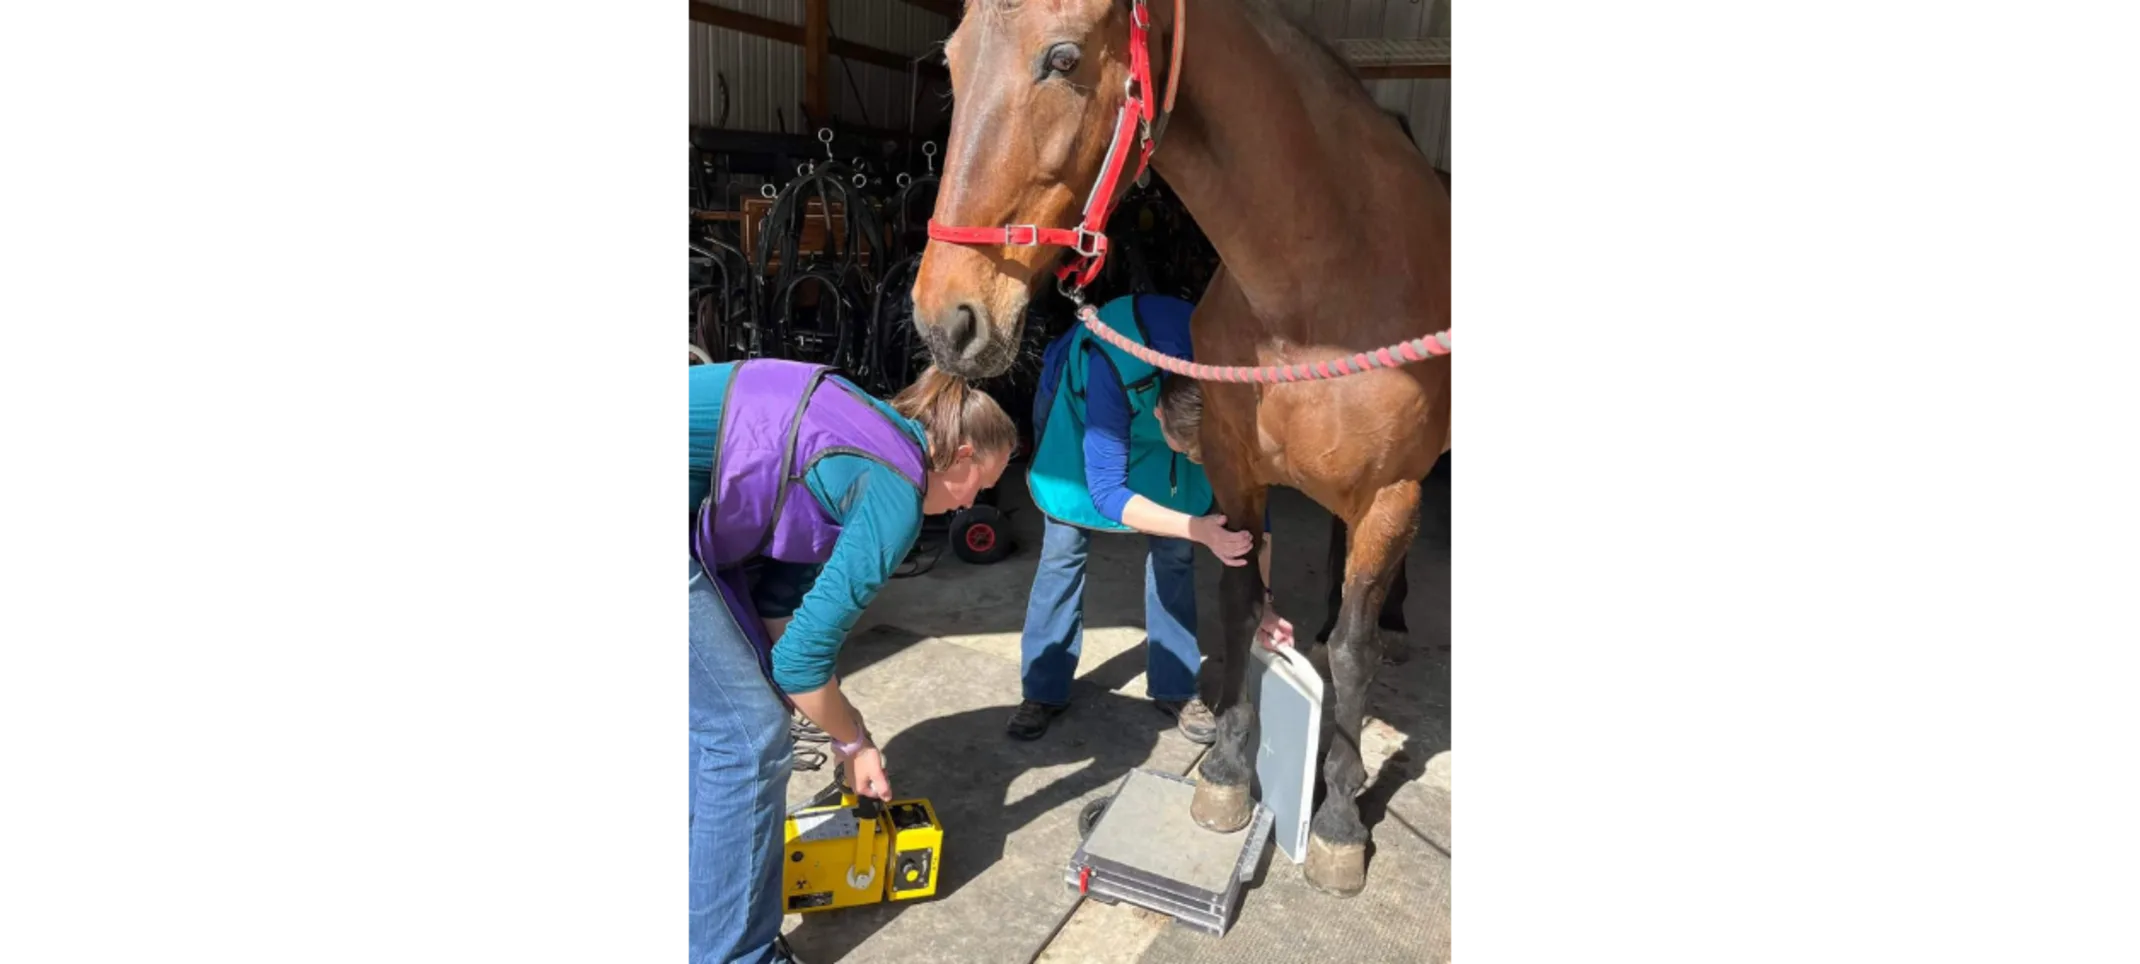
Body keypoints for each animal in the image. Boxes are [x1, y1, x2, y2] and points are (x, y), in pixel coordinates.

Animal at [903, 0, 1455, 895]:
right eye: (950, 62)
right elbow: (1242, 606)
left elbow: (1354, 653)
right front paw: (1228, 774)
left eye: (1063, 58)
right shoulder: (1237, 478)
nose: (944, 317)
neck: (1322, 283)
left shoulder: (1391, 492)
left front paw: (1339, 821)